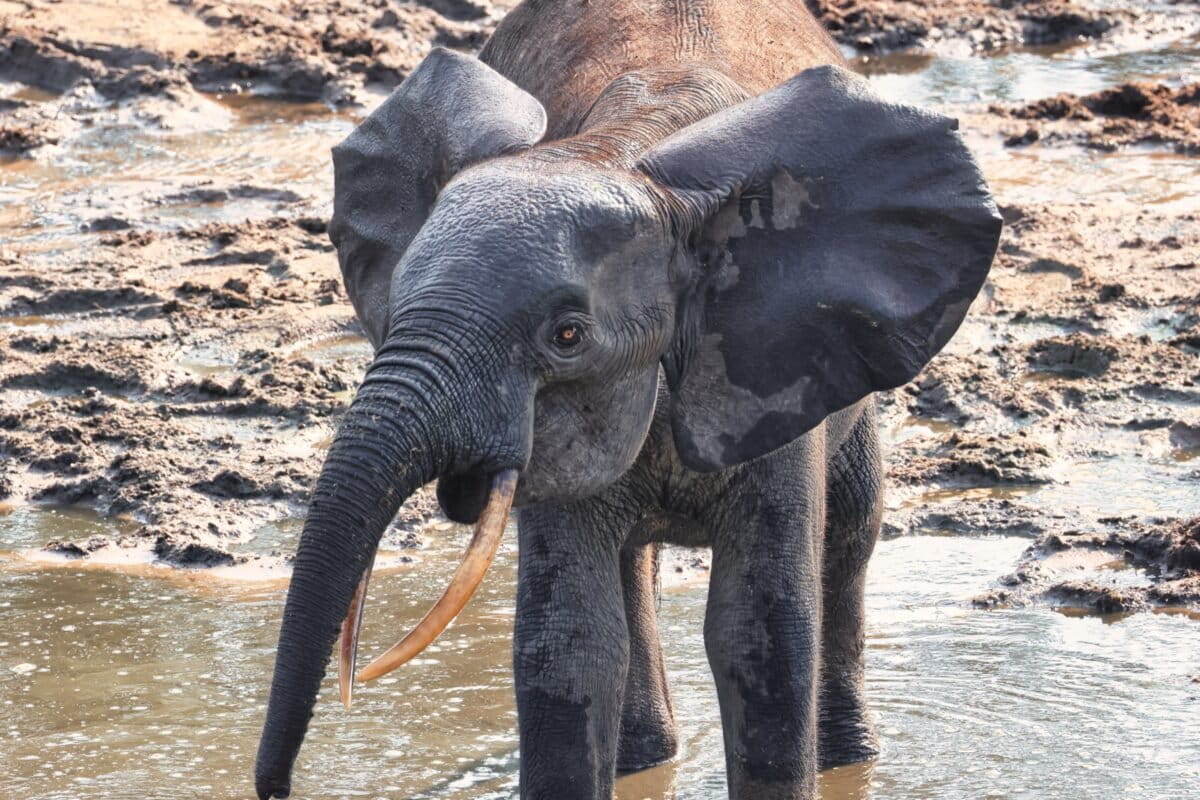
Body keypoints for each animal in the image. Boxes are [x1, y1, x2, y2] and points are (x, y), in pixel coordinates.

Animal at [254, 2, 1001, 798]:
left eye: (568, 334)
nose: (276, 785)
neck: (622, 152)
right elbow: (569, 643)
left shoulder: (771, 362)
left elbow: (760, 633)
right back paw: (644, 760)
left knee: (853, 531)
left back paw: (846, 759)